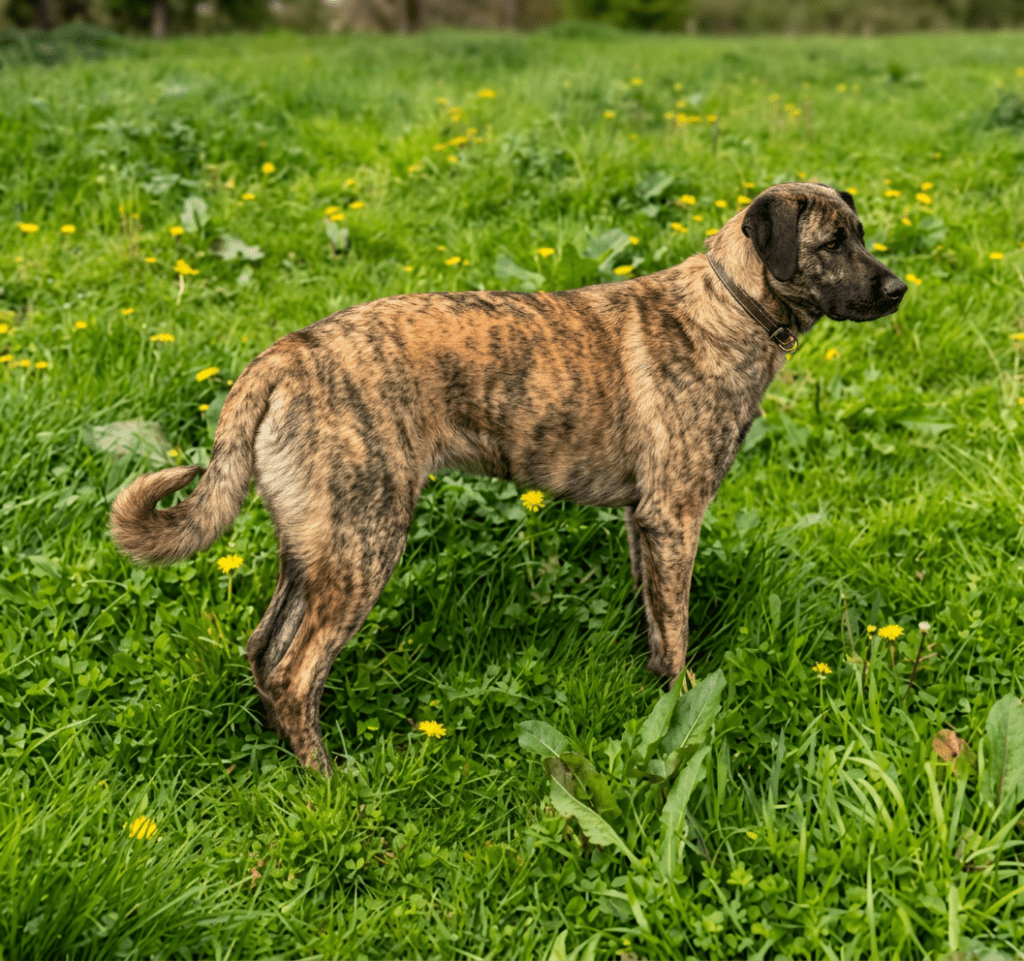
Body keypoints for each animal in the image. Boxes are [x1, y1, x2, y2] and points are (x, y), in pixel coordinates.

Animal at [110, 182, 907, 773]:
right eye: (832, 244)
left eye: (862, 233)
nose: (901, 288)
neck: (730, 306)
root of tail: (283, 355)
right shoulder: (676, 516)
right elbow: (677, 635)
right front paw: (683, 706)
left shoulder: (643, 522)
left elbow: (655, 623)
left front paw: (656, 696)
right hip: (365, 543)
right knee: (295, 672)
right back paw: (327, 782)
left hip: (314, 548)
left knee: (262, 650)